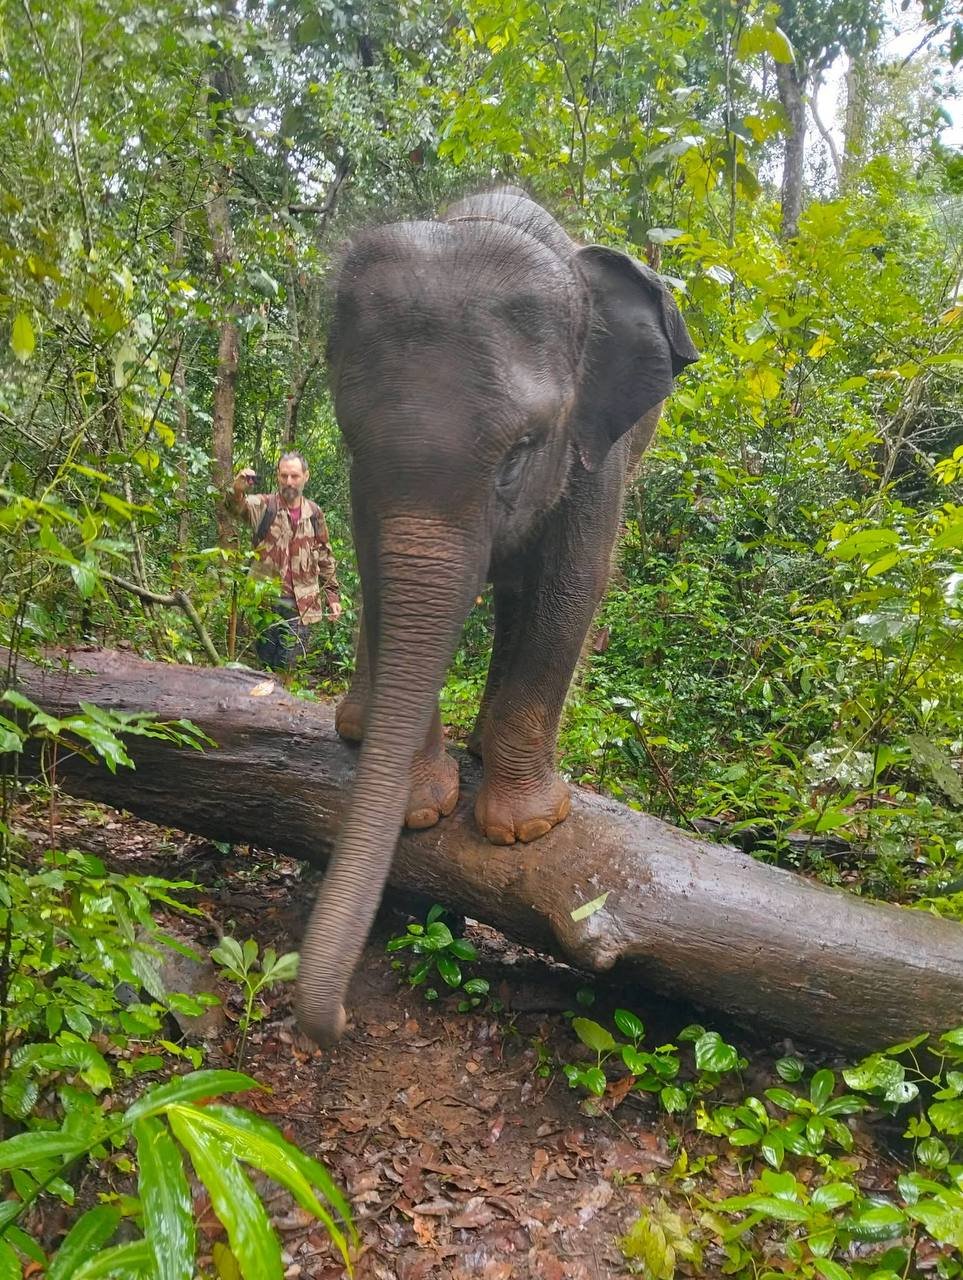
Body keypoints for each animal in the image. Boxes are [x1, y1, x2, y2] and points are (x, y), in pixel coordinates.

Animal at [294, 187, 697, 1046]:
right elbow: (377, 580)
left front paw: (524, 829)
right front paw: (422, 809)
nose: (341, 1016)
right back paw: (360, 726)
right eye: (347, 437)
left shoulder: (594, 450)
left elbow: (569, 591)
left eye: (521, 450)